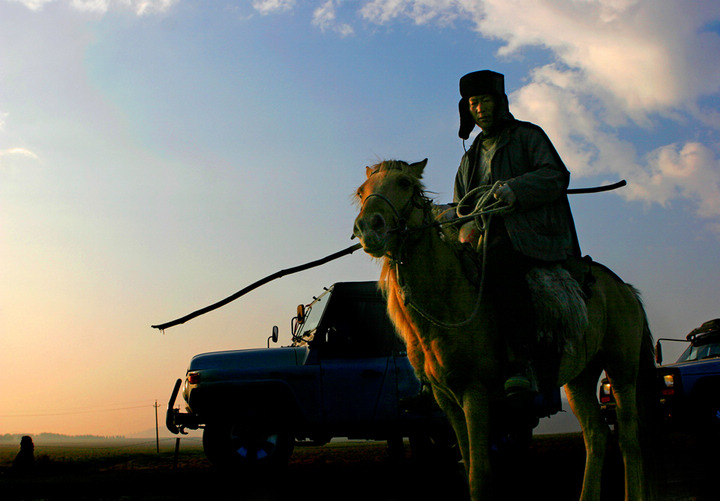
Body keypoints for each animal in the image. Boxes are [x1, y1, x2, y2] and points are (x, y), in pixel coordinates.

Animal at [354, 159, 660, 500]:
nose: (369, 227)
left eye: (405, 183)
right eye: (362, 191)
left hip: (622, 371)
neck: (449, 298)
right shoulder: (446, 400)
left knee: (630, 442)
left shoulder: (474, 392)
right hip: (580, 376)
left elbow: (479, 475)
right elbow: (467, 465)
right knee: (596, 435)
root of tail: (624, 289)